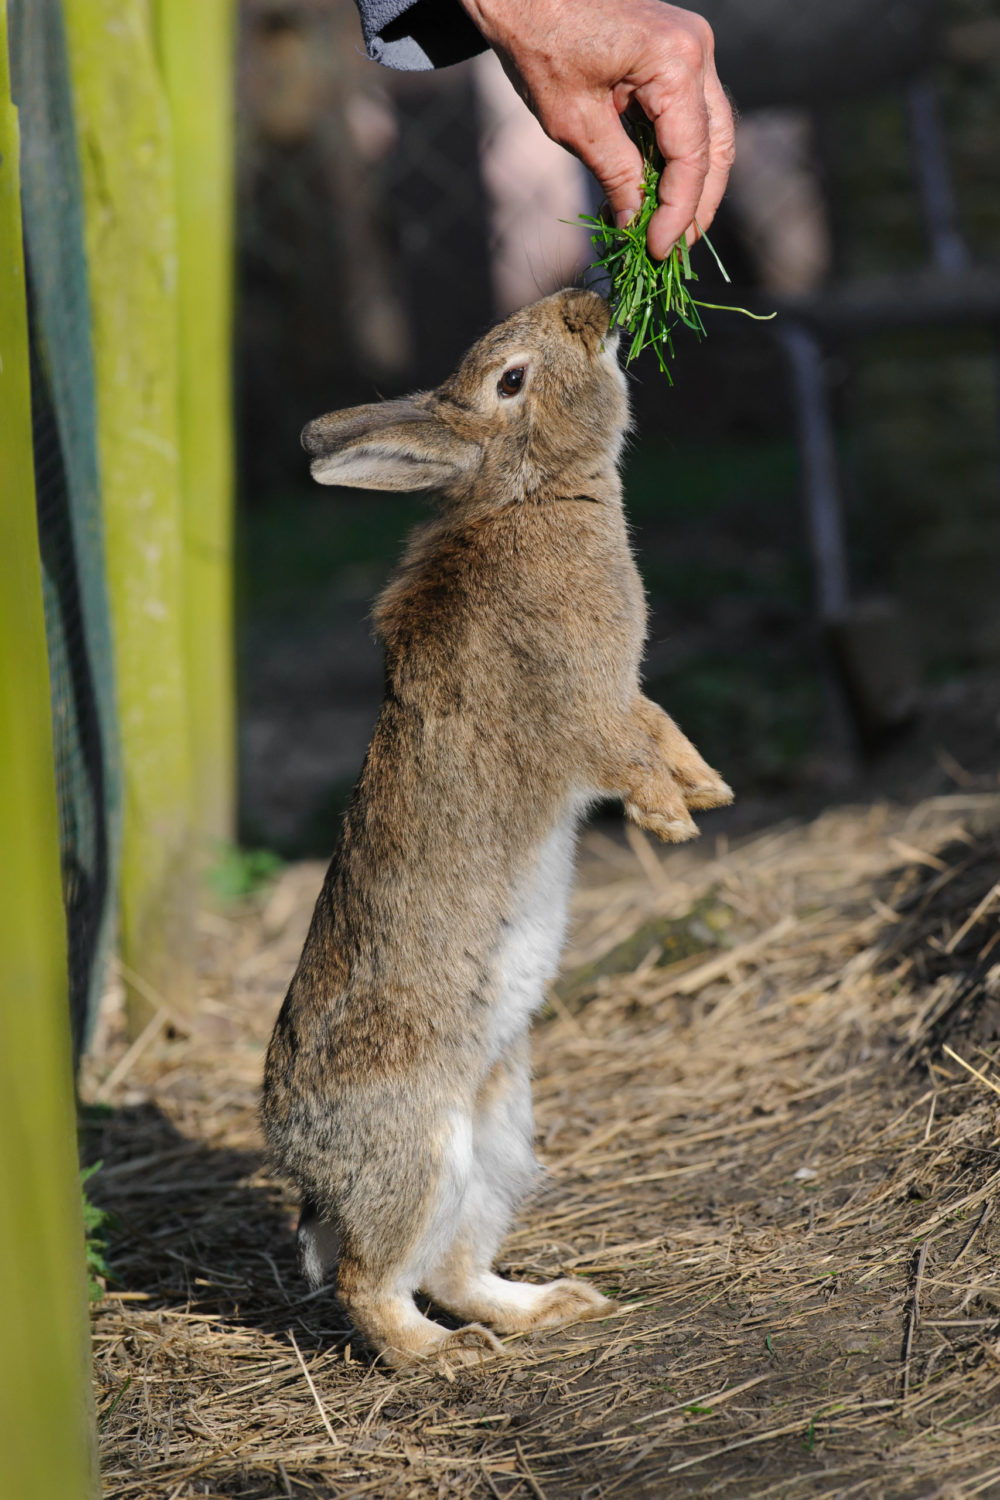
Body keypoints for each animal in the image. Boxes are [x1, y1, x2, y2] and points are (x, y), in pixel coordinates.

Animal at [262, 287, 732, 1370]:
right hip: (420, 1155)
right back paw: (443, 1357)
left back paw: (557, 1307)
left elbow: (663, 729)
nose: (590, 303)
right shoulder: (586, 703)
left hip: (500, 1136)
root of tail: (305, 1155)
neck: (527, 495)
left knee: (453, 1269)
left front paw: (710, 793)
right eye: (510, 379)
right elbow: (626, 753)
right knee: (370, 1281)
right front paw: (671, 824)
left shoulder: (627, 696)